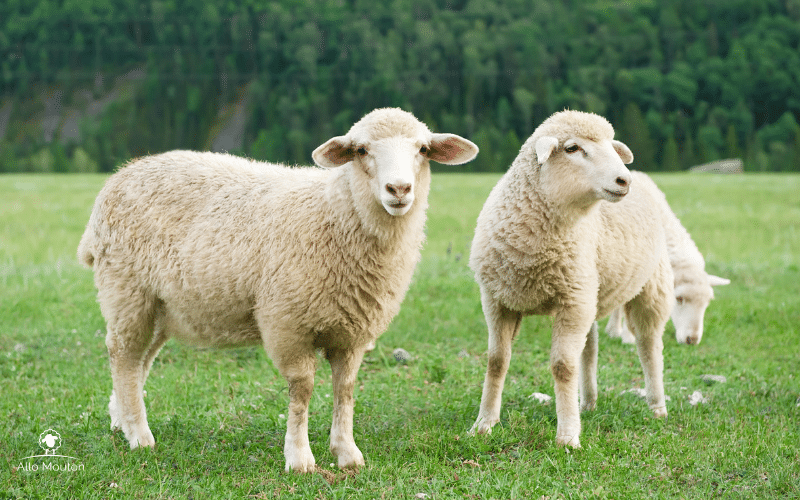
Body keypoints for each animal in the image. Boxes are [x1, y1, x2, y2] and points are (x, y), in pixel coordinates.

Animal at [77, 107, 478, 473]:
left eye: (423, 149)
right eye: (361, 150)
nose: (399, 189)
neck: (336, 213)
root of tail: (120, 176)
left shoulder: (353, 332)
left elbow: (345, 389)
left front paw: (347, 453)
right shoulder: (288, 324)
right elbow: (302, 391)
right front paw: (299, 458)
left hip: (161, 306)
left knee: (139, 362)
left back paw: (121, 419)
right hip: (126, 291)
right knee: (123, 356)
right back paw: (139, 436)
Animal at [468, 110, 674, 448]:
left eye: (612, 146)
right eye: (572, 148)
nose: (623, 180)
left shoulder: (571, 302)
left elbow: (563, 367)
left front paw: (567, 435)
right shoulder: (497, 300)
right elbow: (496, 361)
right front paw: (484, 423)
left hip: (649, 287)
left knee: (649, 346)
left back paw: (657, 406)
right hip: (590, 291)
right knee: (589, 349)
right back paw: (587, 403)